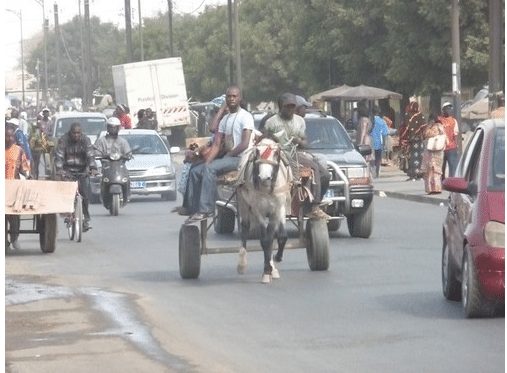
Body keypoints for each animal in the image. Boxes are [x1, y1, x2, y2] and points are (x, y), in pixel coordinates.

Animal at [235, 138, 292, 284]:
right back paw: (242, 263)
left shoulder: (278, 209)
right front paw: (267, 272)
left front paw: (277, 259)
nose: (264, 178)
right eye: (257, 152)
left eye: (276, 153)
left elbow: (279, 237)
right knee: (245, 230)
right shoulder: (258, 210)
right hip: (243, 205)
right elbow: (265, 240)